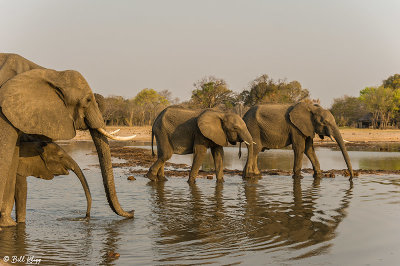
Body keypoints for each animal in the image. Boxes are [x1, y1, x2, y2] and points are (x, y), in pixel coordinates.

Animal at [0, 53, 136, 227]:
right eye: (88, 100)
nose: (132, 211)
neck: (48, 72)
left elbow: (12, 159)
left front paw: (8, 223)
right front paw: (7, 225)